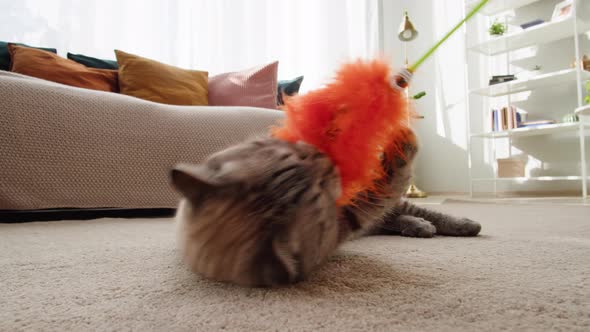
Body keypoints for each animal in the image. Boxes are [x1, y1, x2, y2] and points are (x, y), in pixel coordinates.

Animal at [170, 128, 480, 286]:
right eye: (316, 190)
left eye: (297, 157)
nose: (326, 159)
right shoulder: (348, 218)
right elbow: (384, 186)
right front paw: (402, 142)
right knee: (398, 216)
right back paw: (427, 227)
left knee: (413, 212)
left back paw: (463, 224)